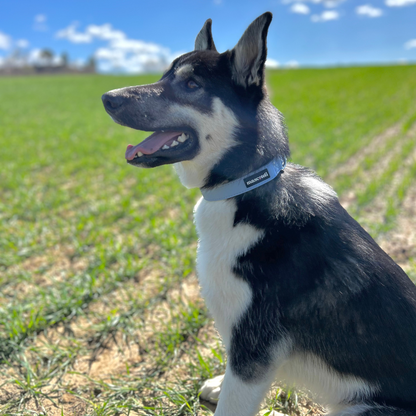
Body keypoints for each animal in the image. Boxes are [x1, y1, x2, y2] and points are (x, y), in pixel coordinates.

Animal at [102, 13, 416, 416]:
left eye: (191, 85)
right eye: (163, 76)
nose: (107, 98)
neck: (243, 189)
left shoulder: (253, 347)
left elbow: (233, 400)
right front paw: (220, 384)